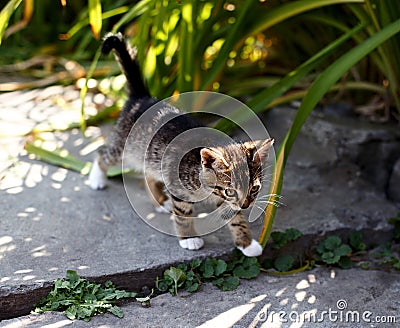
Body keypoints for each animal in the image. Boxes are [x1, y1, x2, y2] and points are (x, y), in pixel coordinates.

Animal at [88, 34, 274, 258]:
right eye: (230, 190)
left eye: (254, 188)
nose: (246, 205)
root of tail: (141, 98)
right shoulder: (179, 187)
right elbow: (183, 214)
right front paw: (189, 238)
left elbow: (235, 218)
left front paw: (246, 243)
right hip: (124, 146)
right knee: (103, 154)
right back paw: (97, 178)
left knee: (148, 172)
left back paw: (160, 200)